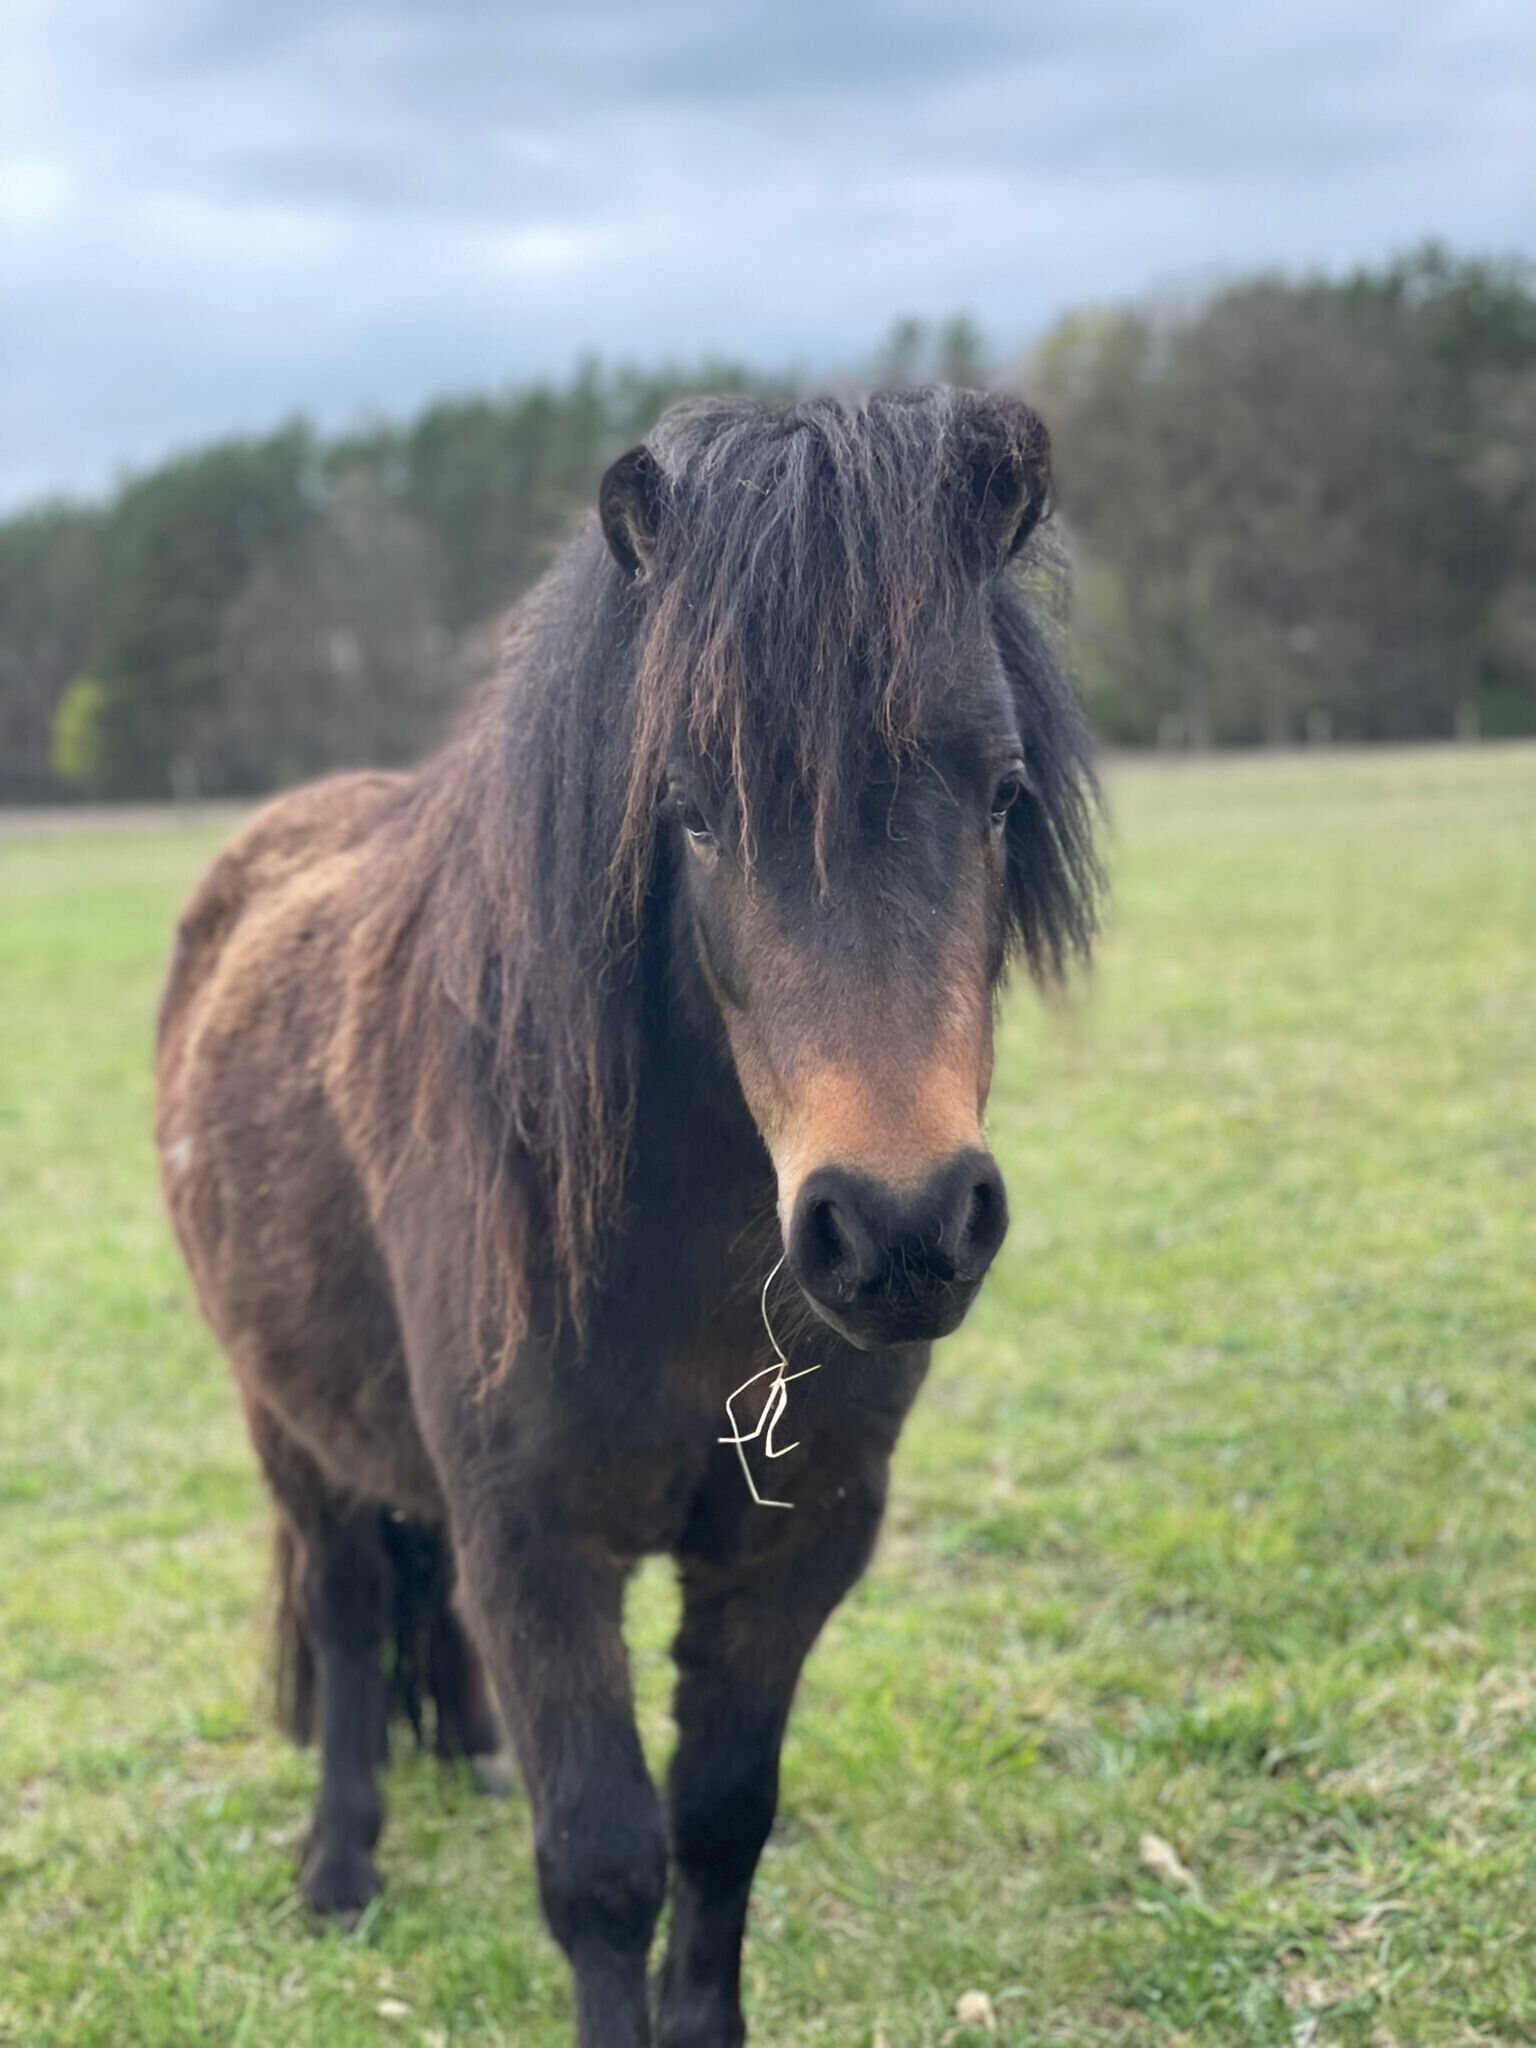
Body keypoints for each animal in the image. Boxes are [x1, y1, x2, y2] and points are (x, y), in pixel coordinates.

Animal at [154, 386, 1101, 2048]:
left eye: (1000, 793)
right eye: (694, 815)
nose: (901, 1227)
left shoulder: (791, 1551)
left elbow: (719, 1826)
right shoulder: (541, 1548)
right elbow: (601, 1864)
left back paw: (465, 1758)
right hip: (285, 1425)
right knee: (346, 1612)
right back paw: (339, 1867)